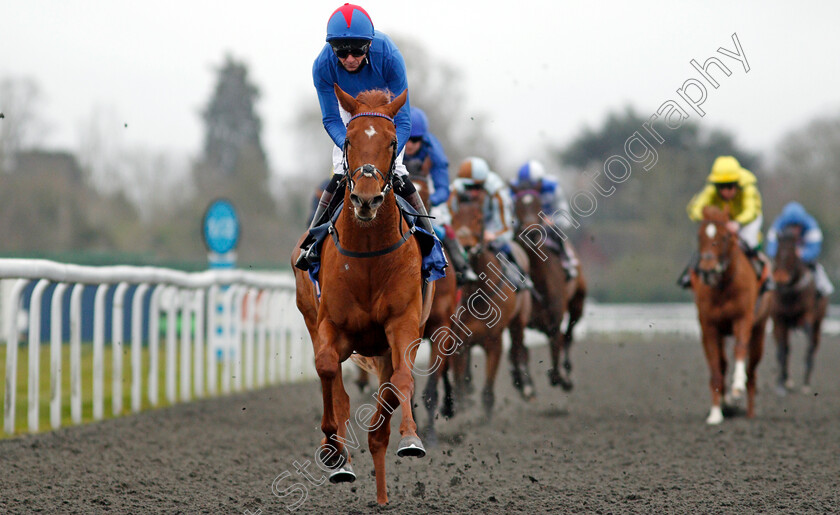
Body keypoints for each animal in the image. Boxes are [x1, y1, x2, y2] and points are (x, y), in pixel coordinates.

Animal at [290, 85, 434, 508]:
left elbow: (401, 381)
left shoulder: (403, 325)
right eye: (350, 141)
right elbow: (327, 372)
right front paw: (332, 449)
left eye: (391, 142)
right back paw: (340, 457)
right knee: (338, 390)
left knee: (384, 409)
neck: (370, 253)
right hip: (312, 318)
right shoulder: (333, 328)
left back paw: (383, 493)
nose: (366, 199)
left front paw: (411, 439)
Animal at [508, 189, 588, 392]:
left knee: (568, 335)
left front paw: (560, 376)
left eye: (539, 206)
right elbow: (518, 349)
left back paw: (566, 372)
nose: (530, 232)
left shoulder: (554, 319)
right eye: (516, 207)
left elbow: (557, 344)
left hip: (578, 303)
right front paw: (523, 381)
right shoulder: (520, 320)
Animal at [692, 205, 772, 424]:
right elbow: (716, 368)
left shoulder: (742, 319)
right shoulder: (709, 327)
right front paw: (716, 413)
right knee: (723, 363)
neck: (723, 286)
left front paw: (737, 387)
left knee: (751, 372)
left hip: (759, 331)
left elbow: (739, 348)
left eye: (726, 236)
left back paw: (750, 411)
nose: (708, 270)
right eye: (699, 235)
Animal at [772, 225, 832, 396]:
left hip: (818, 322)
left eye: (793, 251)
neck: (790, 292)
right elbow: (782, 351)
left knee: (814, 343)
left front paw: (805, 383)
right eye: (777, 251)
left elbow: (809, 345)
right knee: (786, 348)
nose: (780, 277)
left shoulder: (807, 316)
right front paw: (780, 384)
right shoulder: (779, 319)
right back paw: (787, 380)